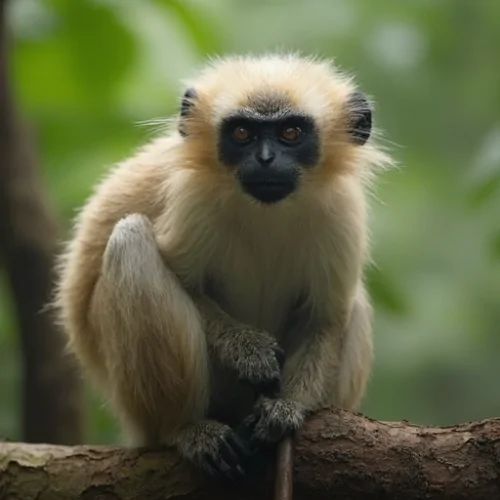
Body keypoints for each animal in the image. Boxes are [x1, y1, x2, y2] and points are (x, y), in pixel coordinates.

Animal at [53, 52, 390, 478]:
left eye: (291, 133)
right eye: (242, 133)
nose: (265, 160)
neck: (268, 211)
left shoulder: (343, 211)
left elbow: (326, 317)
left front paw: (285, 409)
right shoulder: (194, 199)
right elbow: (187, 283)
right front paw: (249, 351)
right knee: (130, 240)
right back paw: (187, 429)